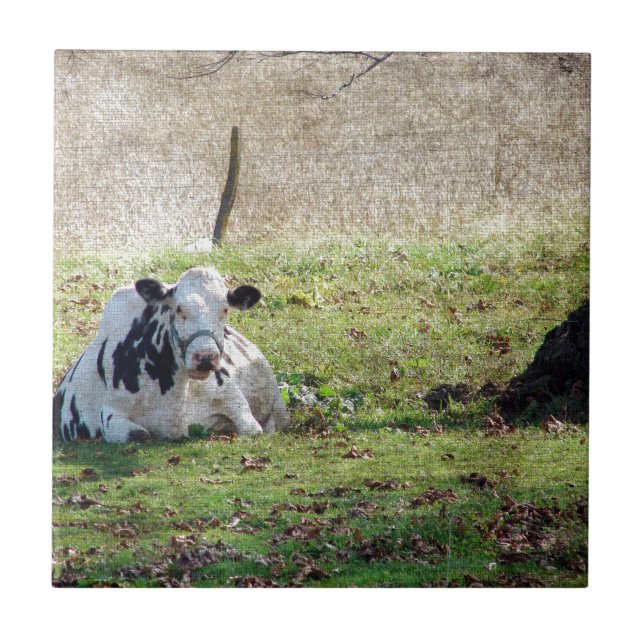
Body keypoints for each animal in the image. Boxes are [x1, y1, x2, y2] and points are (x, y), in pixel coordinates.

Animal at [53, 267, 289, 442]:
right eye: (179, 309)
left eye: (224, 309)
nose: (205, 357)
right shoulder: (112, 415)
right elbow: (138, 434)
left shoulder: (238, 404)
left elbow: (254, 429)